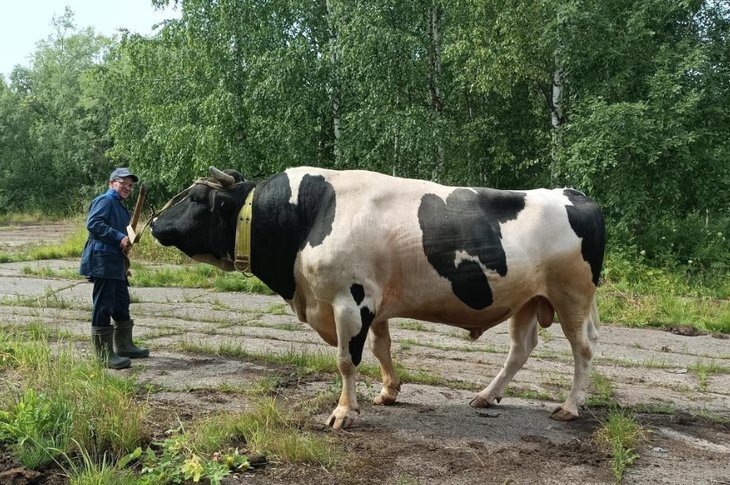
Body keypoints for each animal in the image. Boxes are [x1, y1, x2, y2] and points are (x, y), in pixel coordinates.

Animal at [149, 166, 604, 428]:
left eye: (195, 198)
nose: (153, 223)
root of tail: (573, 193)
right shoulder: (375, 304)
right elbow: (382, 348)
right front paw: (388, 392)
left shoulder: (350, 301)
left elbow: (346, 360)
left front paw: (344, 412)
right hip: (527, 300)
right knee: (520, 348)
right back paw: (486, 395)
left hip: (572, 296)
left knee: (582, 349)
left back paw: (570, 407)